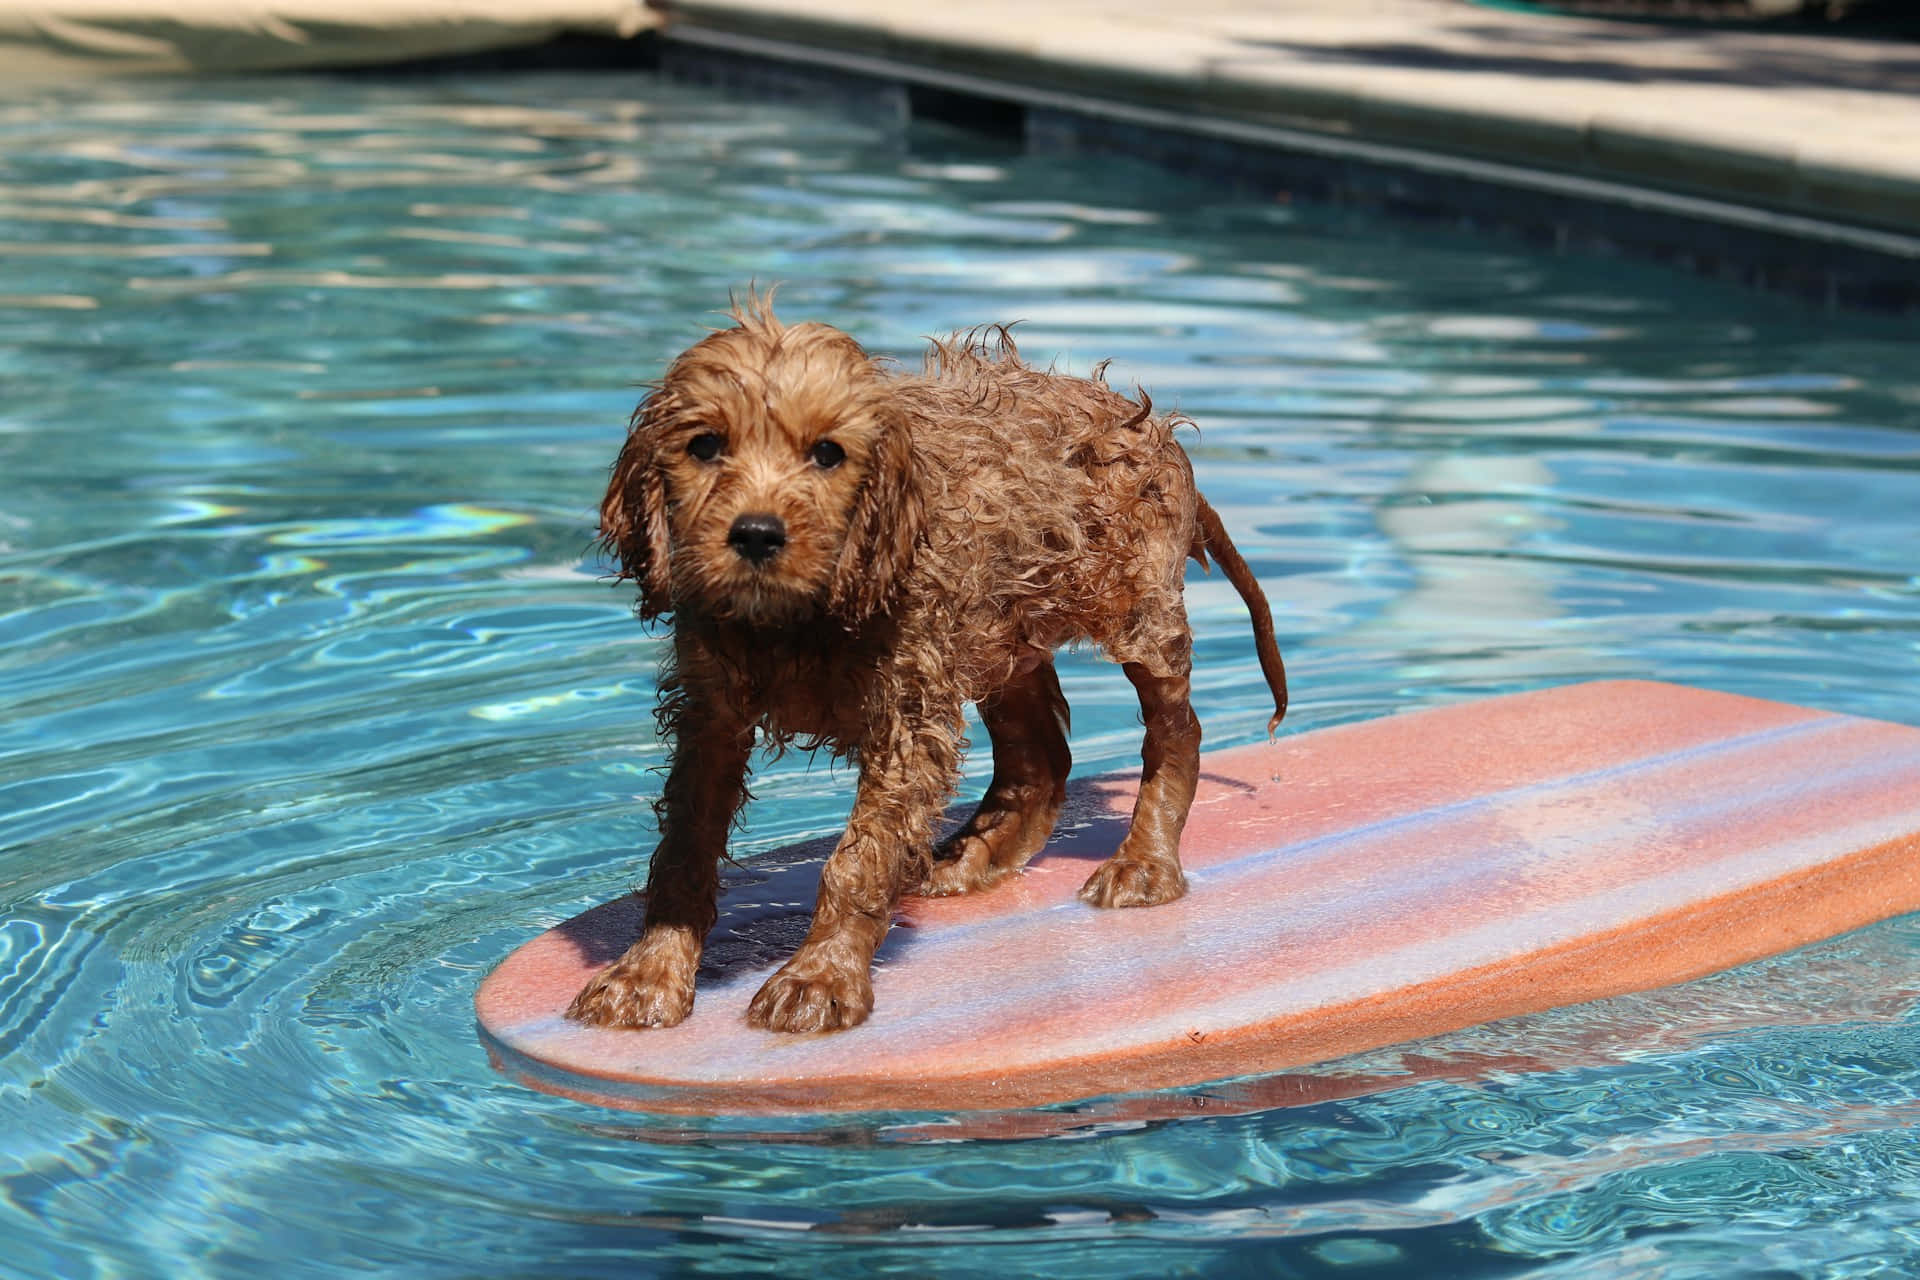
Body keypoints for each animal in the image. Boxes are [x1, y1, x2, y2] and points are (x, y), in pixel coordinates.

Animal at [568, 295, 1290, 1036]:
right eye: (705, 446)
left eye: (827, 453)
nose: (757, 535)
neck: (799, 615)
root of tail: (1147, 424)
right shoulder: (711, 716)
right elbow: (685, 847)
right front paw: (650, 969)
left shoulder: (907, 714)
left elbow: (858, 860)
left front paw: (819, 976)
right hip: (1001, 629)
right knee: (1039, 756)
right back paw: (975, 857)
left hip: (1136, 611)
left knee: (1175, 732)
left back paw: (1144, 863)